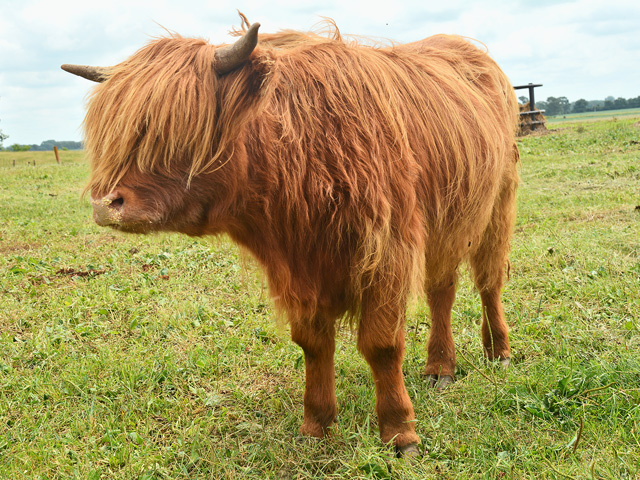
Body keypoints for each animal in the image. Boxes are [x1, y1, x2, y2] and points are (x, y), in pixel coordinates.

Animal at [62, 16, 520, 456]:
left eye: (177, 126)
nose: (105, 203)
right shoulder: (296, 269)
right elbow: (313, 345)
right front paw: (316, 426)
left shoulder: (387, 251)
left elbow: (381, 345)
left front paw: (399, 431)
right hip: (449, 224)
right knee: (442, 289)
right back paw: (440, 367)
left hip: (497, 206)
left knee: (489, 281)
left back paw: (498, 352)